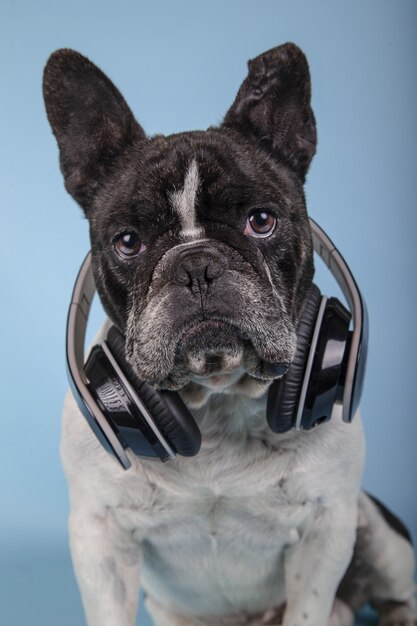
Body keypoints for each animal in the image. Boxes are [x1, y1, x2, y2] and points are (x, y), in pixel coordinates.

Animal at [44, 44, 414, 624]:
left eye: (261, 221)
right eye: (128, 241)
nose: (196, 266)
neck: (216, 399)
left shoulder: (326, 524)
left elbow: (308, 607)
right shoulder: (99, 535)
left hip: (379, 535)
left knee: (393, 589)